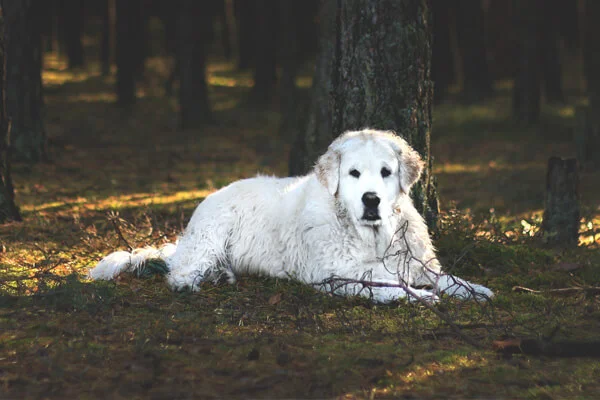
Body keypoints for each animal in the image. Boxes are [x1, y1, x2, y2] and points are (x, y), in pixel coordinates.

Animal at [89, 130, 492, 302]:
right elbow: (388, 286)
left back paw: (221, 275)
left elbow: (443, 277)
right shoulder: (335, 275)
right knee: (179, 271)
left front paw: (474, 289)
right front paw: (420, 298)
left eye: (386, 172)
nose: (371, 200)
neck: (371, 235)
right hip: (211, 234)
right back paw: (192, 282)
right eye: (354, 174)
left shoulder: (415, 262)